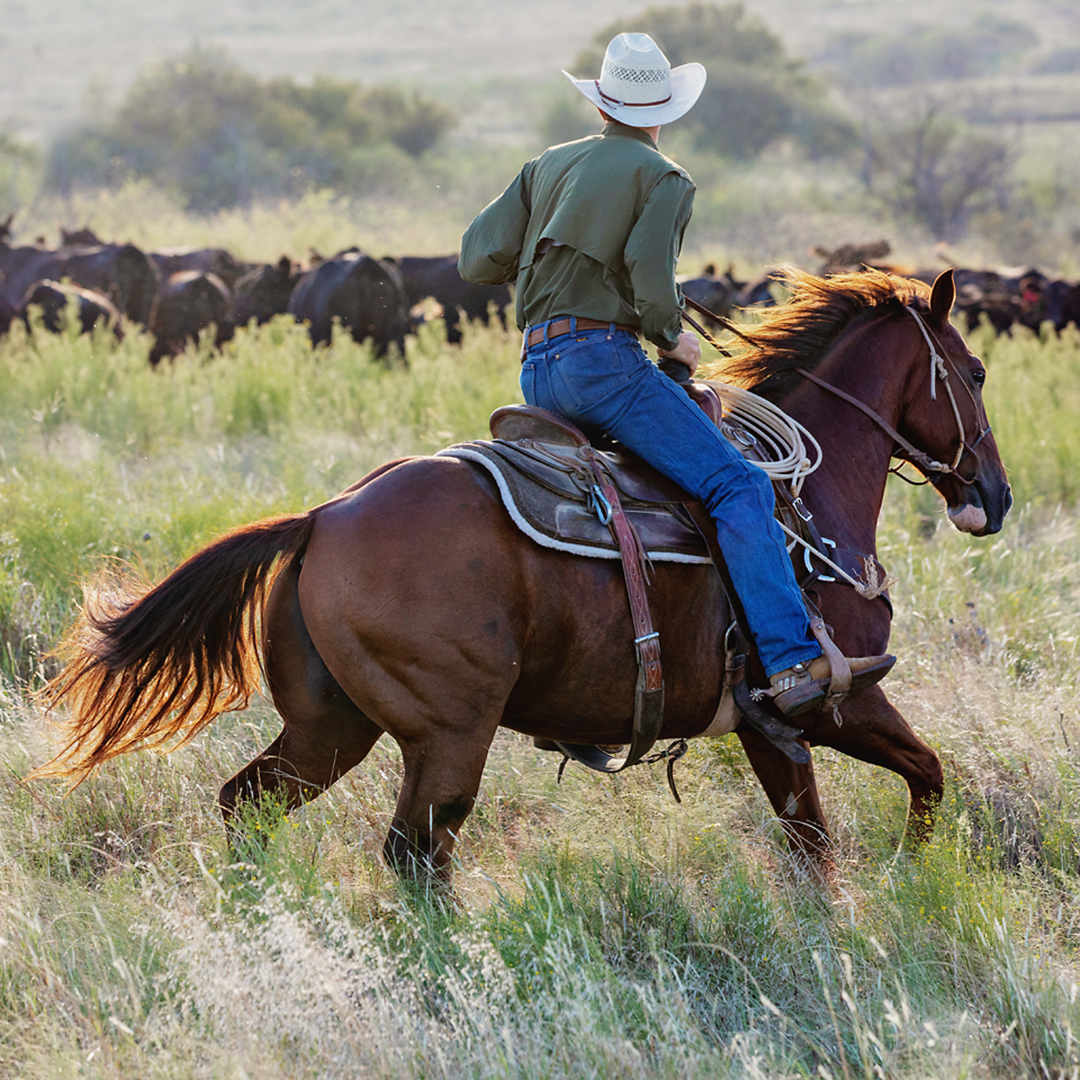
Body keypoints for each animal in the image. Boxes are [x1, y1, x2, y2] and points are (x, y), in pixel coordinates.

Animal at [32, 268, 1012, 881]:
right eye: (973, 371)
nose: (994, 497)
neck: (799, 498)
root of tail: (321, 520)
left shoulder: (768, 729)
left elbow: (829, 830)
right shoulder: (827, 701)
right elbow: (911, 783)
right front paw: (908, 880)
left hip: (329, 727)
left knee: (252, 805)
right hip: (446, 733)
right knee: (416, 851)